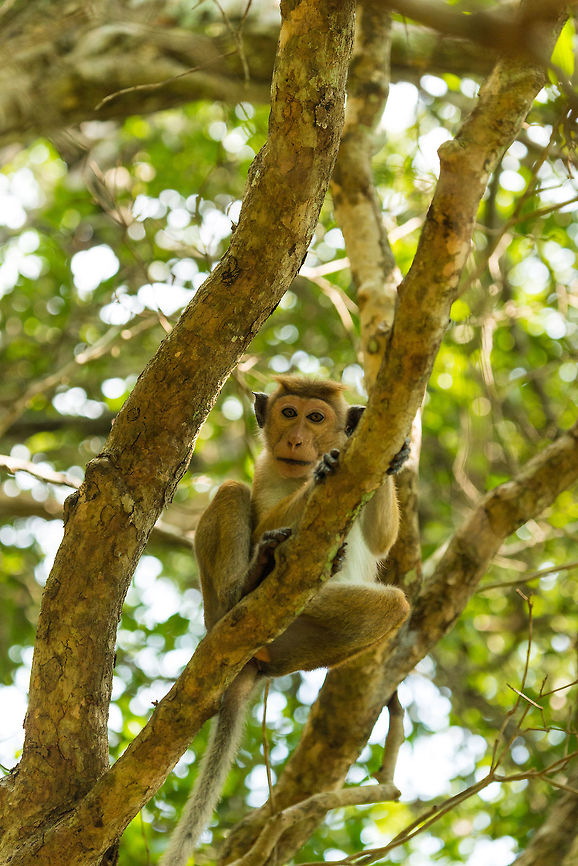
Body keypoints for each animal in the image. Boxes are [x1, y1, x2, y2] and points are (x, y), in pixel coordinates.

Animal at [160, 376, 410, 866]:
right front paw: (323, 470)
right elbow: (262, 514)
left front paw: (395, 456)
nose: (295, 440)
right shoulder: (265, 469)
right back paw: (251, 581)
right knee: (231, 491)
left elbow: (381, 539)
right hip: (216, 608)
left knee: (395, 605)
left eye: (315, 417)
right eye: (288, 413)